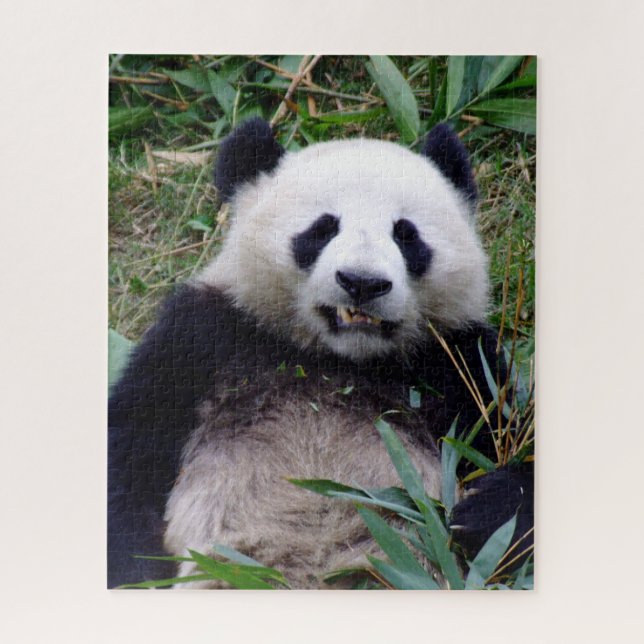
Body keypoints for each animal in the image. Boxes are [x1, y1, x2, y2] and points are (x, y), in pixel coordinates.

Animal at [108, 118, 534, 589]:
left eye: (407, 235)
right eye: (323, 228)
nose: (362, 282)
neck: (338, 359)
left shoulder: (457, 361)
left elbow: (508, 435)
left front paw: (486, 512)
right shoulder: (205, 337)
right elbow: (133, 451)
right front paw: (135, 571)